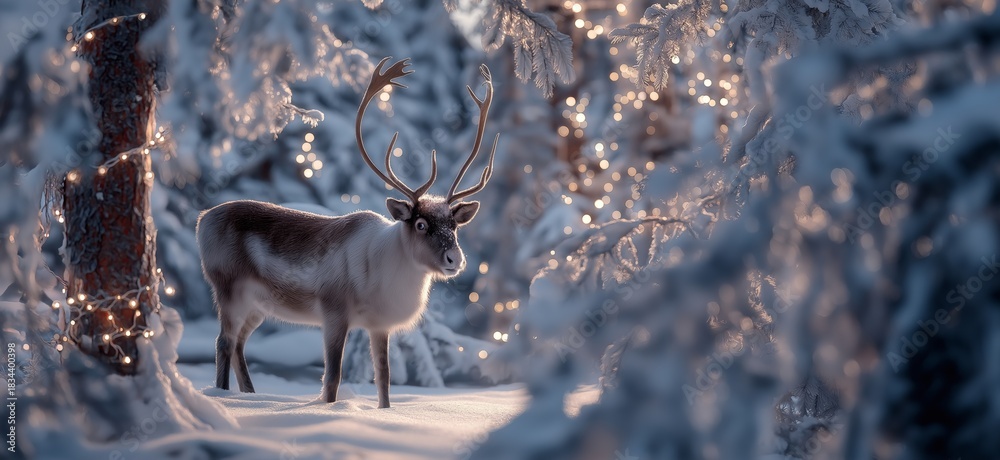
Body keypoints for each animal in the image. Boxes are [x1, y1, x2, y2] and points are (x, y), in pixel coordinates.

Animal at [195, 57, 498, 408]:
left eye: (454, 225)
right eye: (421, 224)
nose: (454, 259)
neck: (386, 270)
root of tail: (202, 220)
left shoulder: (379, 324)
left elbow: (384, 378)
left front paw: (384, 410)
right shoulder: (334, 313)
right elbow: (332, 378)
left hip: (258, 304)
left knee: (240, 345)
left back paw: (250, 395)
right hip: (229, 288)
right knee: (224, 342)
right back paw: (222, 395)